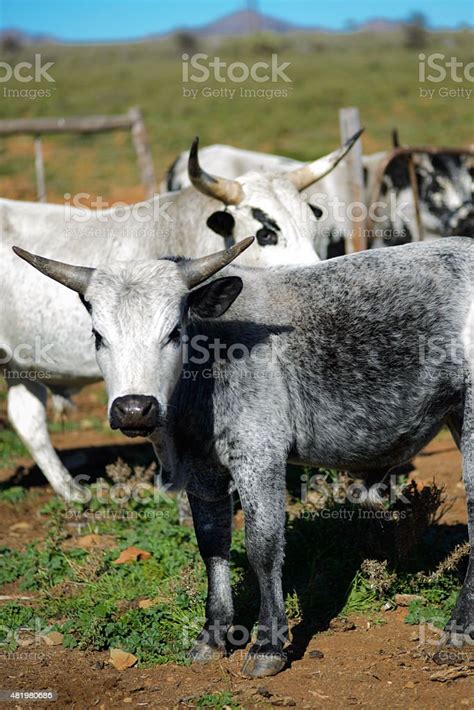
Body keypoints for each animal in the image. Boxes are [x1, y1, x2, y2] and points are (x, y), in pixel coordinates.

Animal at [14, 236, 474, 680]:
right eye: (98, 335)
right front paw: (214, 635)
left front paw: (268, 645)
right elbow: (212, 544)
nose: (134, 408)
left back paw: (457, 629)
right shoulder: (203, 472)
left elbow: (262, 547)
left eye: (174, 332)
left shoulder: (260, 456)